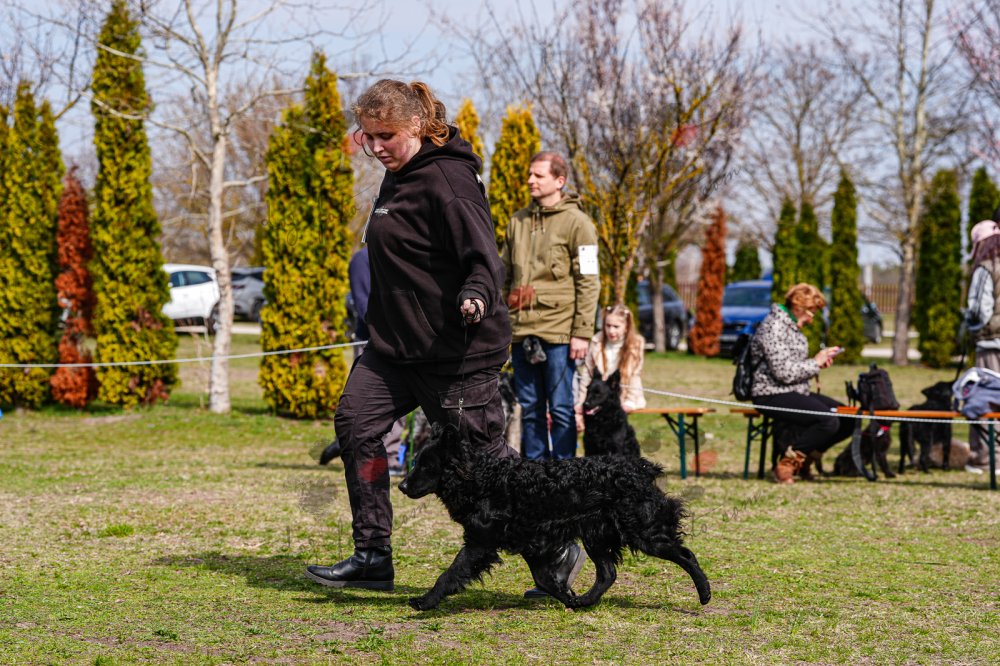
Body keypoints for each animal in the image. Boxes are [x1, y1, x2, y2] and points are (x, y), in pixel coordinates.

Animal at [398, 423, 711, 611]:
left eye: (425, 465)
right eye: (414, 462)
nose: (400, 486)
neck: (483, 479)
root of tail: (641, 469)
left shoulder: (480, 543)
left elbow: (449, 573)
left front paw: (425, 601)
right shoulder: (531, 545)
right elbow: (546, 579)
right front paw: (567, 598)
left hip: (644, 532)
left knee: (686, 555)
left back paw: (705, 594)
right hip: (596, 536)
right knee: (607, 573)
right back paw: (585, 601)